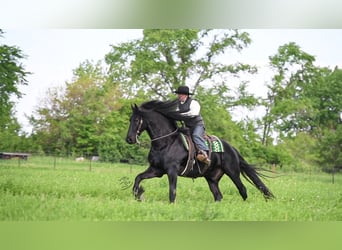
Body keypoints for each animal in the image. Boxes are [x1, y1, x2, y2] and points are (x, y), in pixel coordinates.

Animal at [126, 100, 276, 203]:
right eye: (130, 119)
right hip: (212, 178)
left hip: (233, 172)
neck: (166, 142)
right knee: (218, 196)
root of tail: (232, 148)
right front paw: (138, 194)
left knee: (242, 189)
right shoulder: (156, 170)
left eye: (137, 119)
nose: (129, 139)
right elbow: (138, 177)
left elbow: (172, 192)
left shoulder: (171, 171)